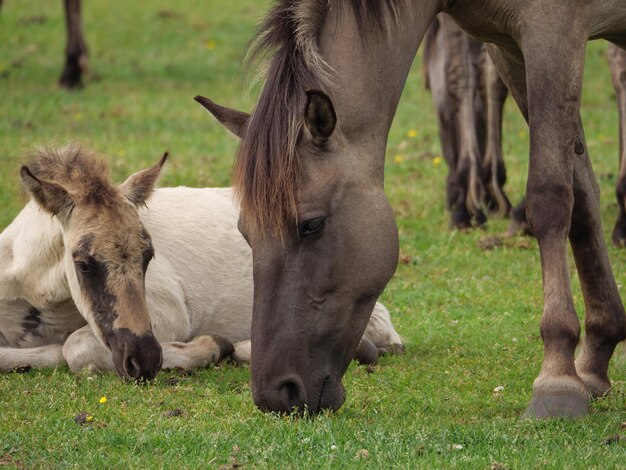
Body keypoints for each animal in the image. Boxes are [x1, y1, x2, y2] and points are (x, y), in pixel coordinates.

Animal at [207, 0, 624, 418]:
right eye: (244, 231)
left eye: (312, 225)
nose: (277, 393)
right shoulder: (508, 47)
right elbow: (581, 197)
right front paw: (595, 360)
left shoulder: (554, 33)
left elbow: (550, 198)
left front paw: (557, 379)